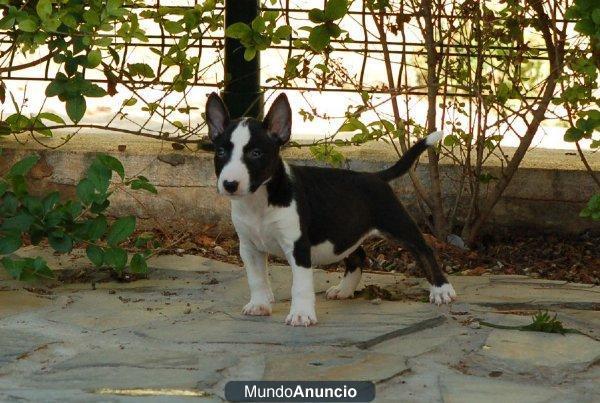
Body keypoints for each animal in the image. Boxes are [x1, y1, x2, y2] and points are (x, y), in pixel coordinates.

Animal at [205, 93, 454, 326]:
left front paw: (301, 315)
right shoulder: (249, 247)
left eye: (256, 153)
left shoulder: (298, 246)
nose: (229, 184)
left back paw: (441, 290)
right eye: (220, 152)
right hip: (346, 230)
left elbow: (301, 284)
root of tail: (376, 176)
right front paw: (259, 305)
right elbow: (256, 279)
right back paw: (344, 290)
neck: (259, 201)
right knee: (357, 255)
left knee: (424, 249)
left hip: (397, 223)